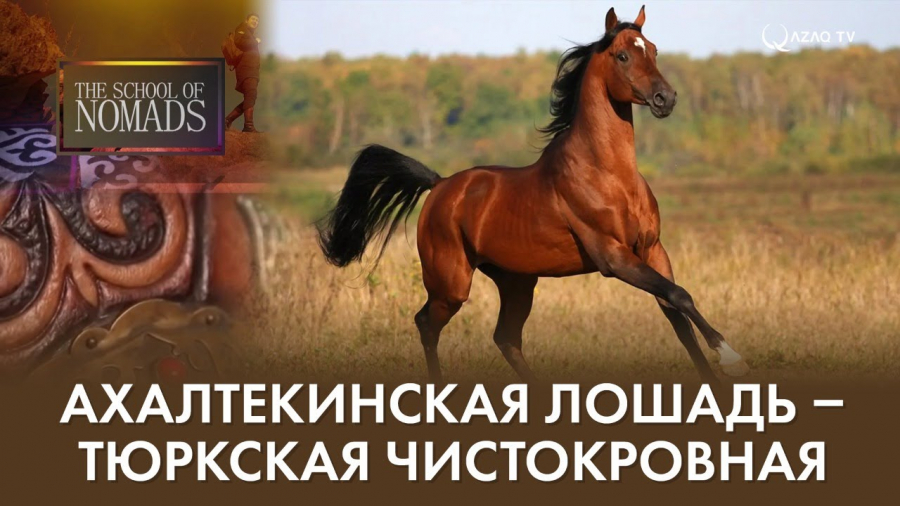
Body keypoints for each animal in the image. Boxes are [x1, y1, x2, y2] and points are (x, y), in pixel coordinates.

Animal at [316, 6, 749, 384]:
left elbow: (677, 314)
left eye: (655, 50)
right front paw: (732, 358)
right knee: (427, 324)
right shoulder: (613, 257)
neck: (608, 175)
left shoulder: (652, 250)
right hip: (451, 283)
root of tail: (440, 185)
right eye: (623, 55)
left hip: (516, 282)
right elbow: (680, 296)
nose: (666, 99)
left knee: (506, 338)